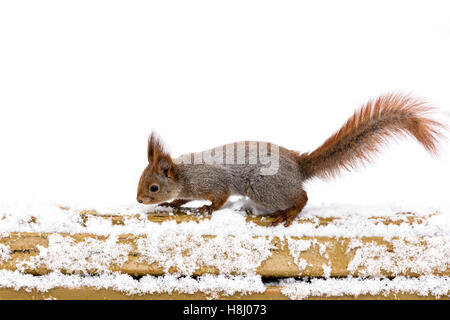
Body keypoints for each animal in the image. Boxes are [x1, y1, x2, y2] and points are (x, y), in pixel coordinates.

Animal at [136, 94, 442, 226]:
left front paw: (207, 208)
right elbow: (182, 199)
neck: (184, 175)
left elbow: (220, 198)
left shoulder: (213, 181)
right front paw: (173, 203)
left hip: (263, 186)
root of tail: (298, 166)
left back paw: (288, 213)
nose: (139, 199)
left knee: (303, 196)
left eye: (153, 187)